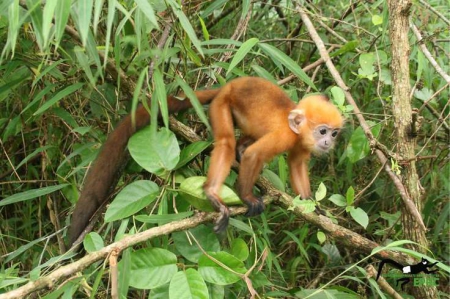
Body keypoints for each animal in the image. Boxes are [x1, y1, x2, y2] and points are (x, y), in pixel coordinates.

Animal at [68, 76, 342, 245]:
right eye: (322, 131)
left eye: (334, 133)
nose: (328, 143)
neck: (297, 131)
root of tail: (227, 87)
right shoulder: (285, 135)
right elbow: (255, 155)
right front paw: (246, 196)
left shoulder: (300, 144)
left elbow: (296, 165)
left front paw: (313, 206)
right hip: (221, 105)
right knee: (227, 142)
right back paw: (212, 191)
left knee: (241, 143)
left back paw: (239, 153)